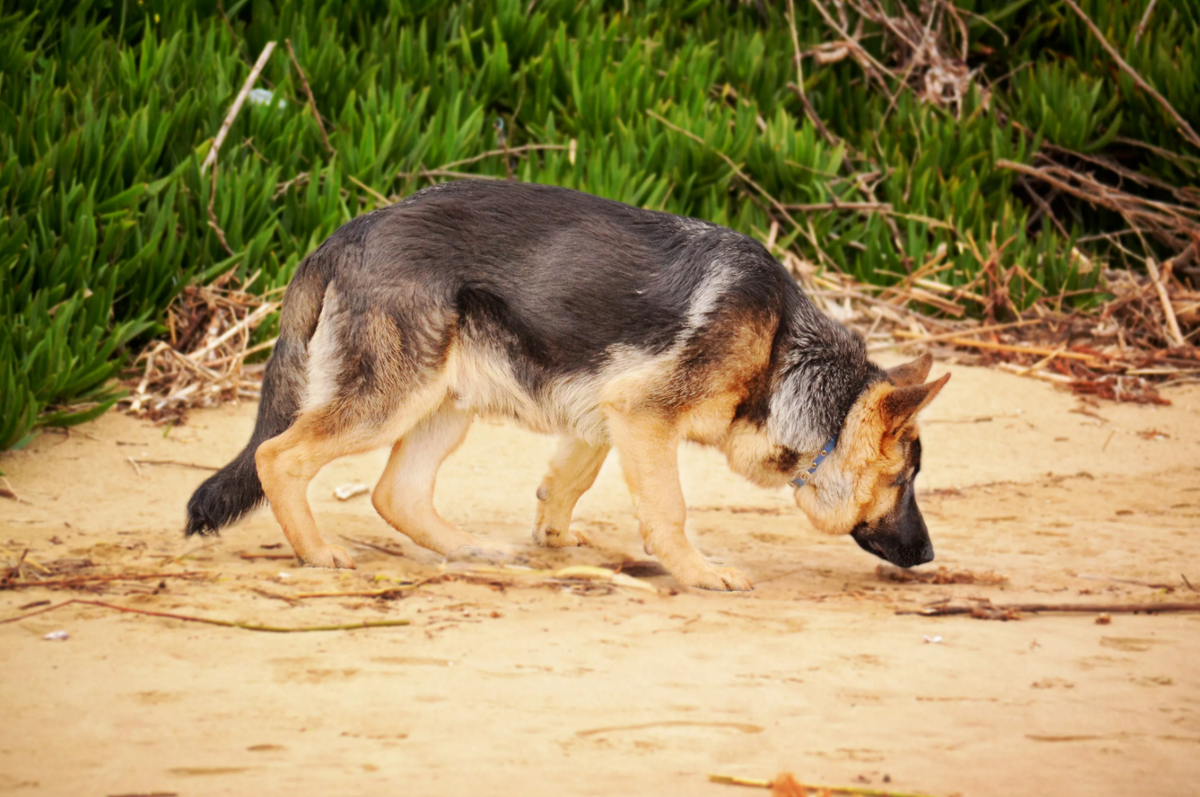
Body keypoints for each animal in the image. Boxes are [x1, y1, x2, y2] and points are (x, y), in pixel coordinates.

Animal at [187, 182, 950, 590]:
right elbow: (669, 509)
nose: (929, 554)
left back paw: (467, 549)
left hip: (443, 404)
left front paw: (553, 539)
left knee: (394, 492)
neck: (784, 353)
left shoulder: (606, 414)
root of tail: (342, 236)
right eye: (904, 481)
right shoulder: (643, 416)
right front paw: (698, 571)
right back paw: (317, 553)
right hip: (387, 402)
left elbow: (567, 483)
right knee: (277, 456)